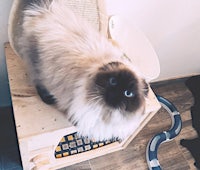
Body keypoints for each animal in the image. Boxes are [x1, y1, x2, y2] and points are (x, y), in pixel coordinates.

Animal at [18, 0, 148, 141]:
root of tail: (44, 9)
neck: (105, 111)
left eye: (128, 93)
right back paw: (48, 100)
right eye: (113, 81)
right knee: (39, 83)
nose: (114, 95)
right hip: (40, 69)